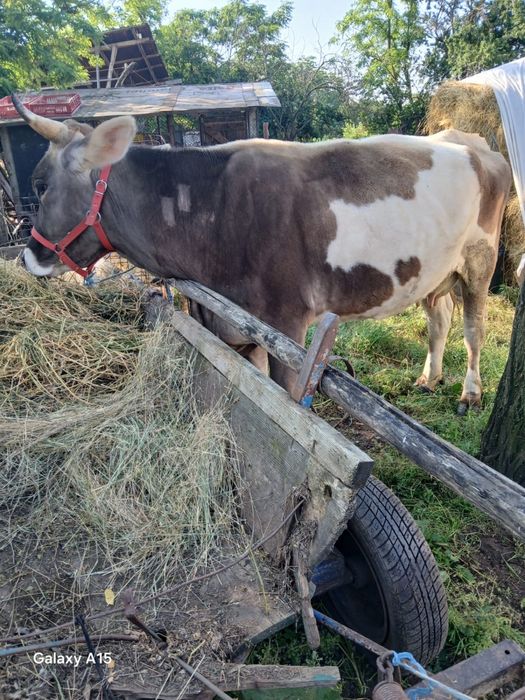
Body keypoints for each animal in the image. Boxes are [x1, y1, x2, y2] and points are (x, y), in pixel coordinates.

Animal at [12, 96, 511, 412]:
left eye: (40, 185)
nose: (27, 257)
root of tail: (473, 142)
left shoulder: (288, 327)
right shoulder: (239, 332)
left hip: (480, 262)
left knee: (474, 328)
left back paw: (469, 393)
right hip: (433, 269)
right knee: (439, 318)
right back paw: (429, 378)